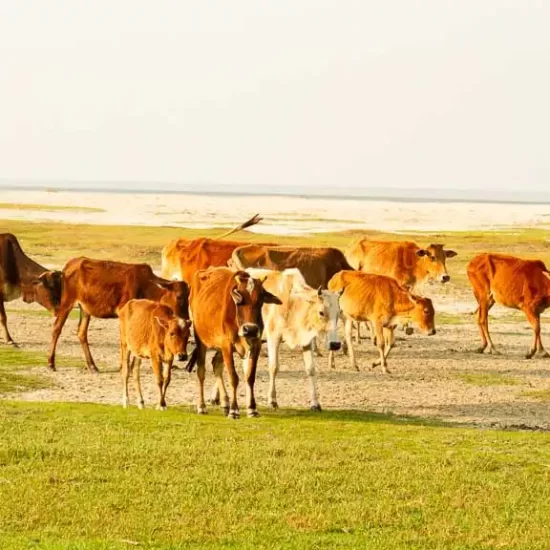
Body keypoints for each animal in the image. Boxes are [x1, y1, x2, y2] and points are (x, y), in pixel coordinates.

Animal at [40, 258, 191, 376]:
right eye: (179, 297)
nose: (186, 318)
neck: (147, 285)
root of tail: (68, 267)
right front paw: (125, 367)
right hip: (67, 303)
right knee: (57, 328)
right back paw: (51, 363)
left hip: (85, 309)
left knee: (81, 333)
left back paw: (92, 366)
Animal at [185, 268, 282, 418]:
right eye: (240, 299)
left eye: (260, 300)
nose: (250, 329)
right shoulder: (227, 346)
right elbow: (233, 378)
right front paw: (234, 410)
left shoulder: (256, 345)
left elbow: (250, 377)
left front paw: (252, 408)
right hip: (201, 340)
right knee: (201, 371)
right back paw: (202, 406)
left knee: (216, 364)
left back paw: (225, 402)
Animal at [243, 268, 344, 414]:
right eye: (321, 312)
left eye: (338, 313)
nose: (335, 344)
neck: (293, 303)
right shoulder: (273, 337)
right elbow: (274, 367)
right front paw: (272, 400)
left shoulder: (307, 341)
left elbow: (311, 369)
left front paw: (315, 403)